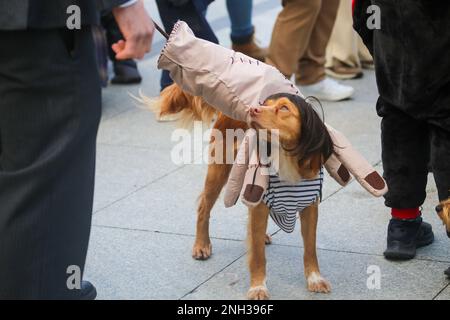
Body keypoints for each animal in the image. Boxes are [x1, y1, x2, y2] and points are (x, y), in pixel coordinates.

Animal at [155, 84, 334, 298]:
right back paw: (201, 245)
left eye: (284, 108)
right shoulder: (260, 202)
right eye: (263, 103)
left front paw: (315, 278)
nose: (253, 109)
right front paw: (258, 287)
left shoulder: (310, 207)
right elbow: (257, 255)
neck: (284, 157)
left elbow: (310, 247)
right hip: (219, 171)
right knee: (204, 206)